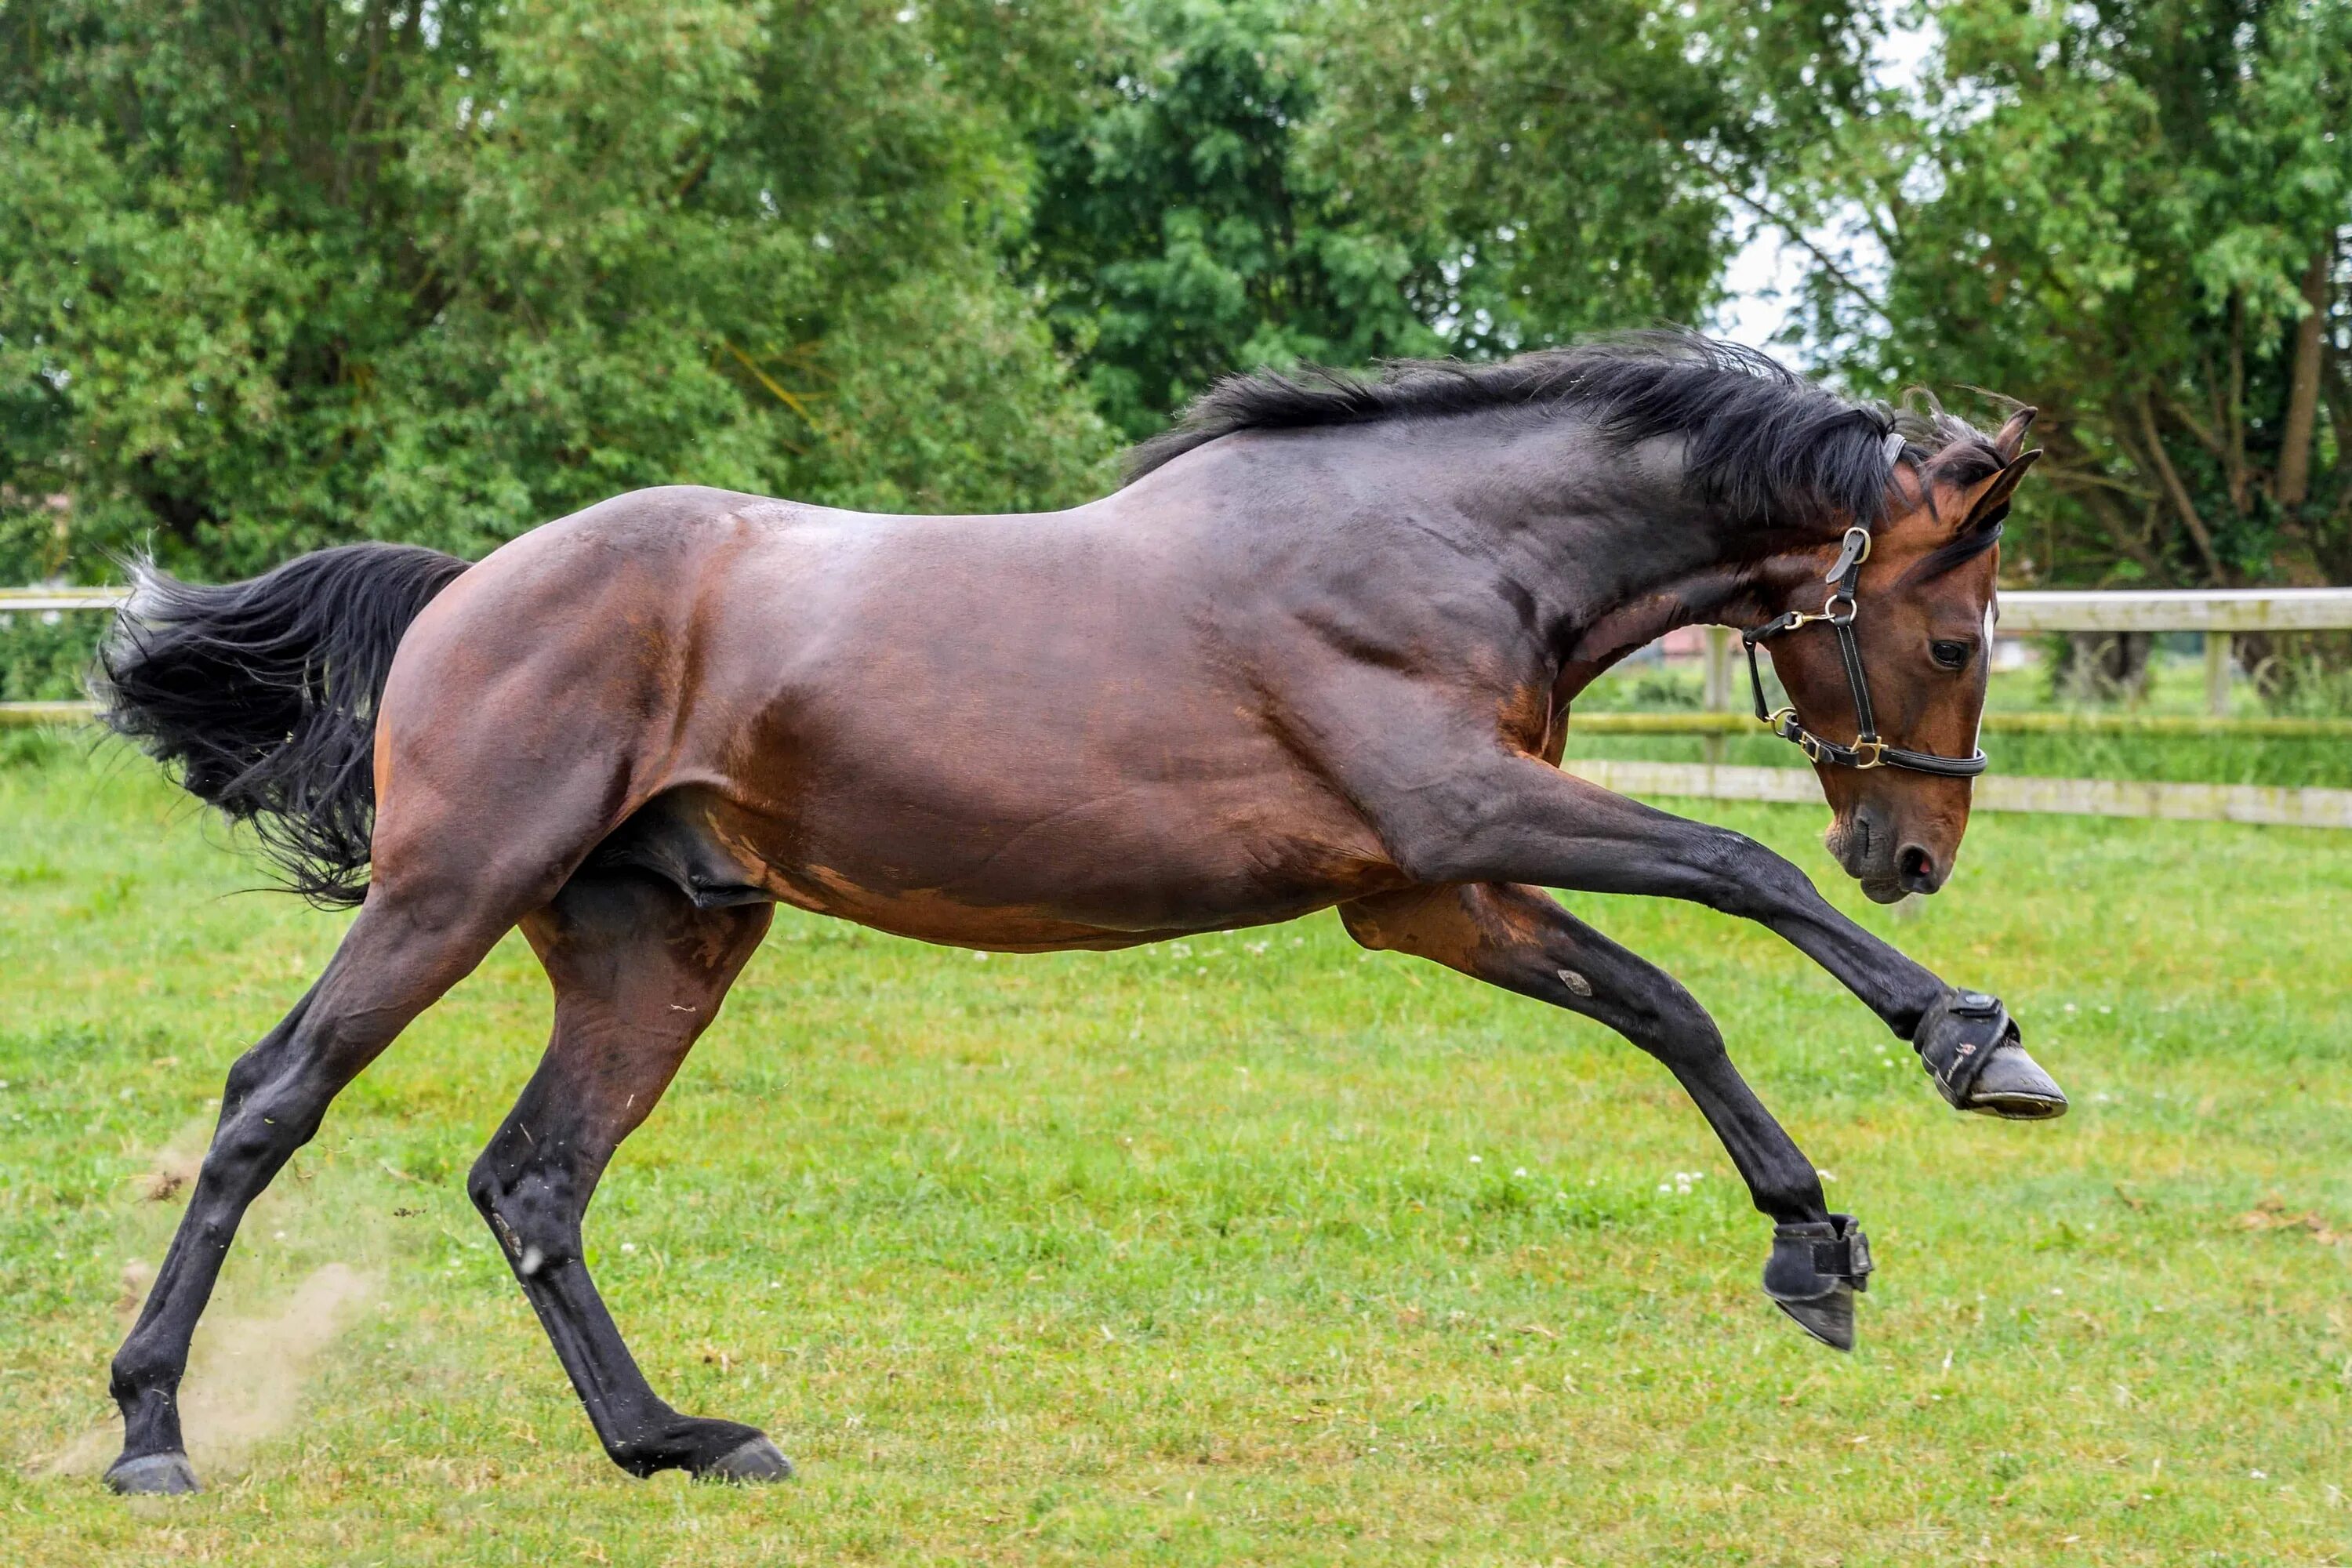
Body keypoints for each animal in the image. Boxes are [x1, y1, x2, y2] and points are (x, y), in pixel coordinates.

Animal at [101, 333, 2070, 1495]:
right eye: (1952, 633)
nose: (1911, 852)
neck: (1443, 543)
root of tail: (467, 591)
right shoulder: (1457, 816)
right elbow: (1737, 875)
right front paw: (1974, 1044)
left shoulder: (1426, 892)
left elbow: (1668, 1001)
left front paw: (1812, 1245)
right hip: (453, 891)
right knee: (272, 1100)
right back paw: (149, 1429)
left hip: (658, 943)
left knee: (534, 1180)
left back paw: (672, 1440)